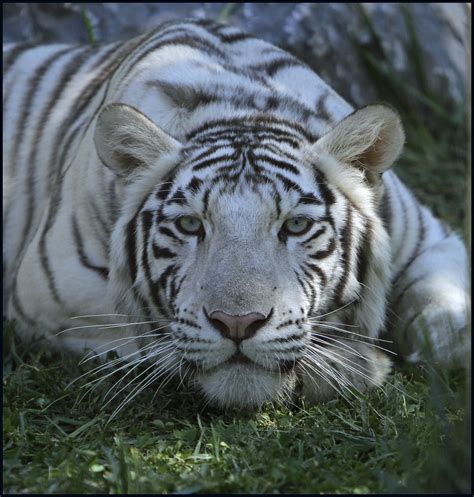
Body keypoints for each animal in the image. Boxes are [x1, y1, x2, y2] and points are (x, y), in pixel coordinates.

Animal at [2, 18, 470, 406]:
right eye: (190, 225)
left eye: (296, 225)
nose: (237, 324)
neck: (241, 108)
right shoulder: (47, 294)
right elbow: (148, 339)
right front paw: (353, 364)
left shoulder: (432, 241)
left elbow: (446, 324)